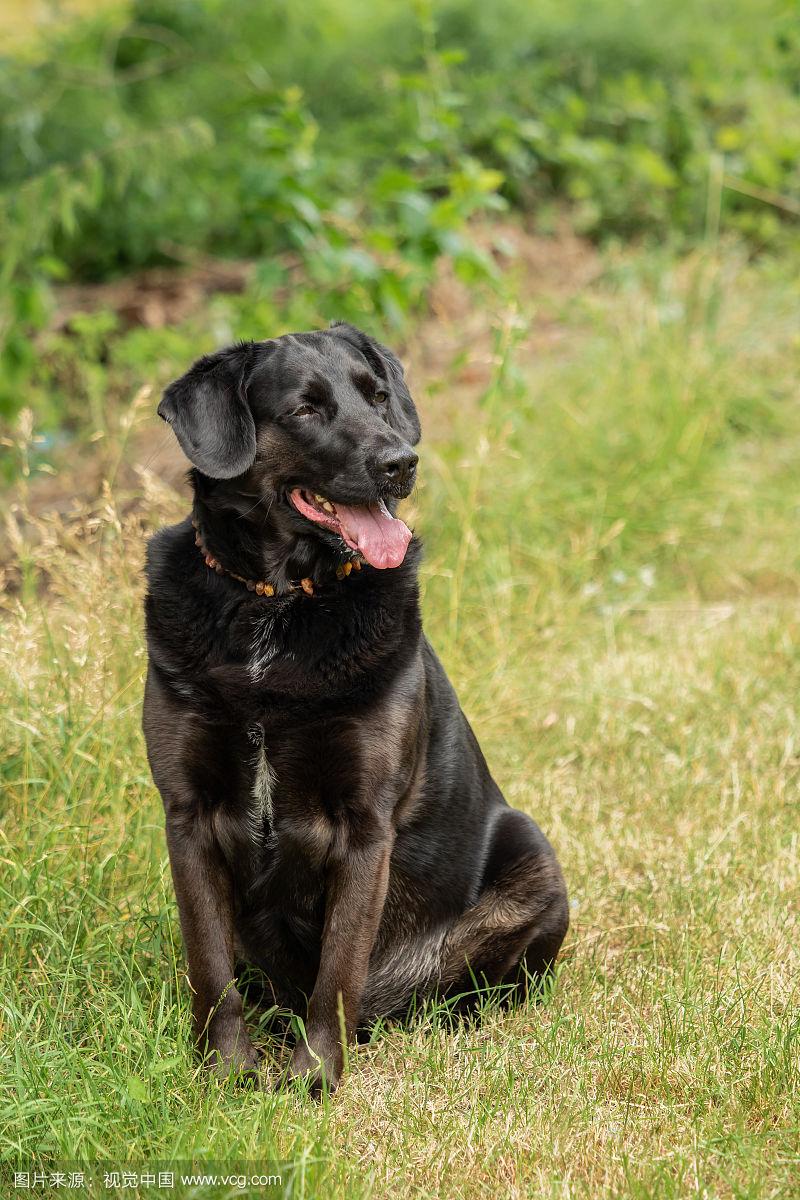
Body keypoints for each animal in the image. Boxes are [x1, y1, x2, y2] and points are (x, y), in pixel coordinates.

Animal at [143, 324, 568, 1094]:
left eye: (376, 397)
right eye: (306, 409)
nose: (402, 463)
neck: (278, 606)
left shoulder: (364, 825)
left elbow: (338, 971)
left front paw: (314, 1078)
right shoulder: (187, 815)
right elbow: (211, 968)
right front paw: (225, 1073)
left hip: (536, 863)